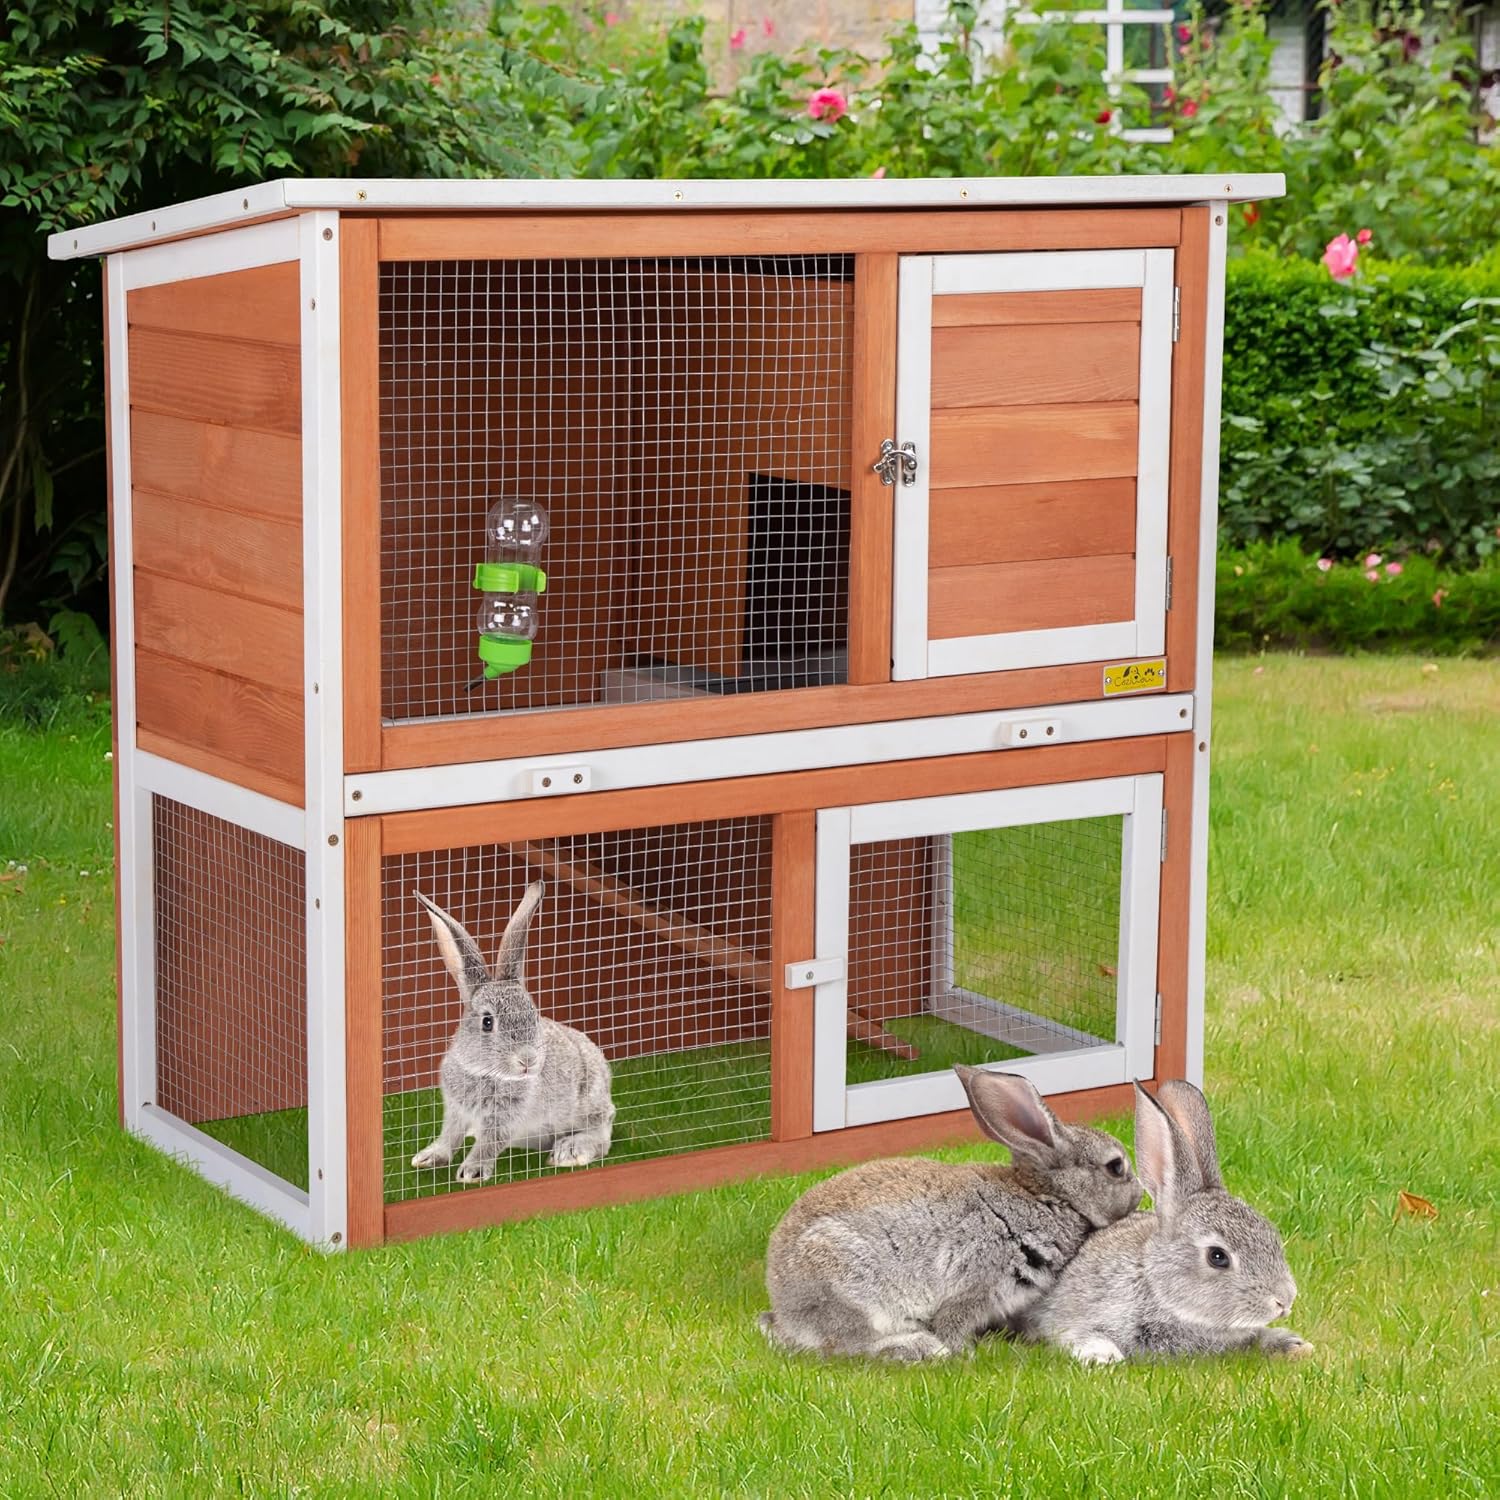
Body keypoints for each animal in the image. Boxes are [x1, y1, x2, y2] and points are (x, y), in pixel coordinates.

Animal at [410, 881, 615, 1182]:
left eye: (534, 1015)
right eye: (487, 1022)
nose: (527, 1060)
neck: (485, 1072)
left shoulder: (506, 1117)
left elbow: (490, 1142)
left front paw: (471, 1172)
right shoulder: (456, 1110)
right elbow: (450, 1135)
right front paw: (428, 1158)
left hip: (587, 1101)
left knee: (602, 1130)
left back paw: (569, 1152)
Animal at [757, 1066, 1143, 1362]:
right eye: (1115, 1167)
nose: (1139, 1194)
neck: (1043, 1196)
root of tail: (784, 1305)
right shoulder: (975, 1284)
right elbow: (952, 1323)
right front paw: (963, 1352)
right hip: (847, 1288)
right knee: (849, 1343)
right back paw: (920, 1348)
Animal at [1018, 1080, 1312, 1365]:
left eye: (1272, 1235)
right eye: (1217, 1257)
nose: (1284, 1300)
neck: (1155, 1284)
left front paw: (1295, 1346)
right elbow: (1074, 1331)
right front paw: (1103, 1355)